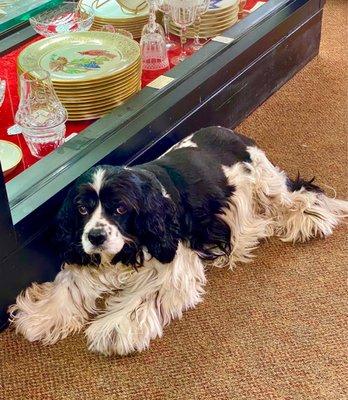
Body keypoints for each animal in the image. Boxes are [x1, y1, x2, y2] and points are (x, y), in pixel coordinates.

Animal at [8, 126, 348, 354]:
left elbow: (143, 296)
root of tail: (235, 134)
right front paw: (42, 316)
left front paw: (113, 328)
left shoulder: (172, 262)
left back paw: (311, 219)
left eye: (120, 208)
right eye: (82, 208)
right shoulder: (84, 255)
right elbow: (68, 283)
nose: (95, 235)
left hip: (263, 182)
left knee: (295, 196)